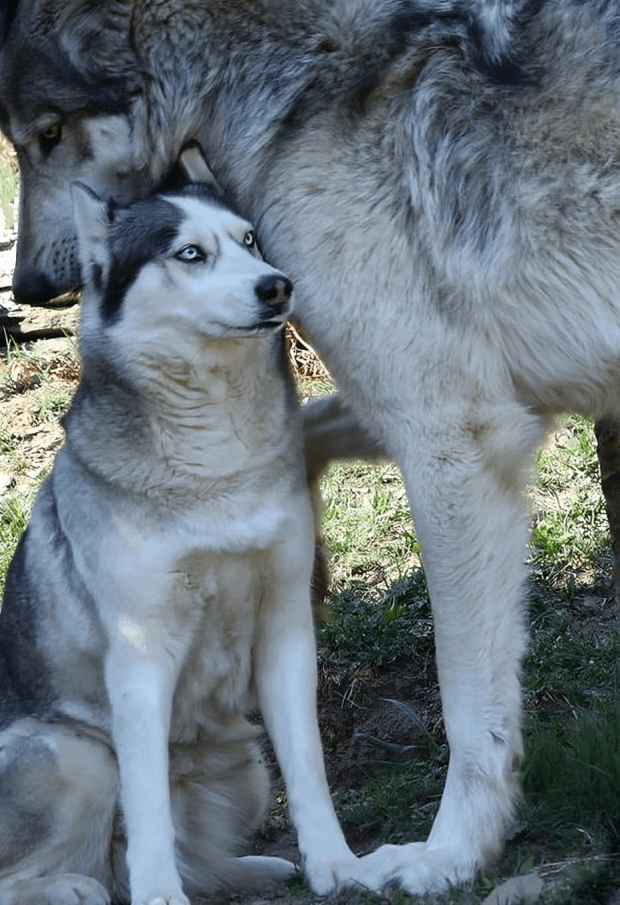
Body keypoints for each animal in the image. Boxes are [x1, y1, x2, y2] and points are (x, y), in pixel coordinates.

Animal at [0, 150, 372, 904]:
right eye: (190, 254)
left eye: (250, 240)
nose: (276, 285)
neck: (215, 464)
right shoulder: (141, 655)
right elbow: (146, 804)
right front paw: (158, 895)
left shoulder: (286, 627)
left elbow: (310, 767)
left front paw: (336, 864)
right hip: (75, 754)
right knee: (58, 863)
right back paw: (75, 887)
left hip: (247, 770)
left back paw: (246, 869)